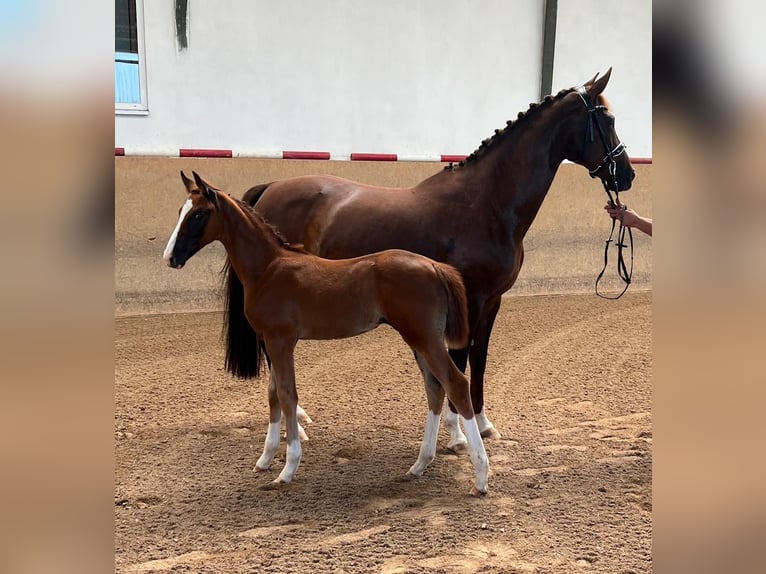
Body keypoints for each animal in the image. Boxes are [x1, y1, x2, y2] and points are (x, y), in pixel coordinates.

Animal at [163, 171, 490, 496]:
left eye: (198, 214)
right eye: (179, 211)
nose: (169, 258)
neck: (269, 268)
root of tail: (435, 266)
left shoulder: (281, 341)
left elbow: (287, 395)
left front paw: (288, 468)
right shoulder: (271, 340)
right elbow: (273, 394)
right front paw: (265, 458)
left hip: (425, 337)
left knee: (455, 384)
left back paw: (480, 476)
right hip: (418, 339)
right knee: (434, 387)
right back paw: (420, 465)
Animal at [224, 69, 635, 449]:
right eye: (609, 120)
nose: (627, 175)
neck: (486, 204)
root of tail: (271, 189)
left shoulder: (492, 302)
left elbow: (480, 358)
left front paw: (482, 424)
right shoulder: (470, 298)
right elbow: (460, 359)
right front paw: (459, 433)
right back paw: (296, 423)